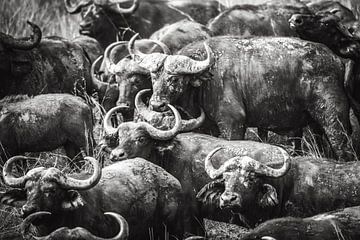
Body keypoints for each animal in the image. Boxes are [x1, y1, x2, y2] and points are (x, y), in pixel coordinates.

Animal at [131, 34, 360, 161]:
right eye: (154, 76)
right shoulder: (207, 127)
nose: (156, 104)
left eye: (175, 78)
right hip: (314, 125)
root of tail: (337, 60)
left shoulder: (233, 124)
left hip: (334, 119)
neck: (206, 81)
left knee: (343, 147)